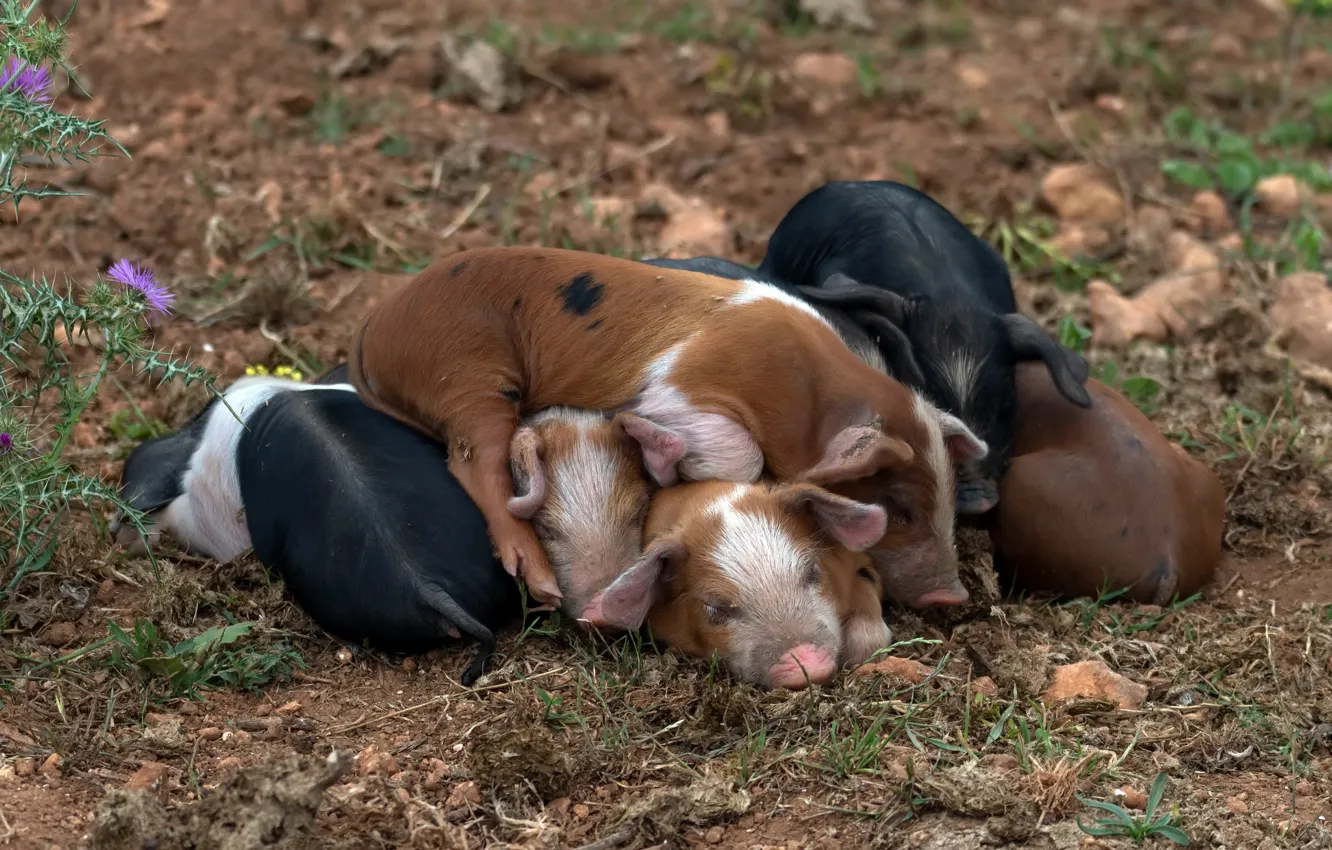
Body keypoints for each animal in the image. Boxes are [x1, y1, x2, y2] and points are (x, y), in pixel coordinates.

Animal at [347, 245, 990, 616]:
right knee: (474, 463)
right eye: (899, 508)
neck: (804, 392)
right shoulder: (676, 388)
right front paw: (657, 447)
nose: (953, 595)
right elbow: (740, 455)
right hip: (470, 372)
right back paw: (542, 583)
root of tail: (375, 325)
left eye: (948, 501)